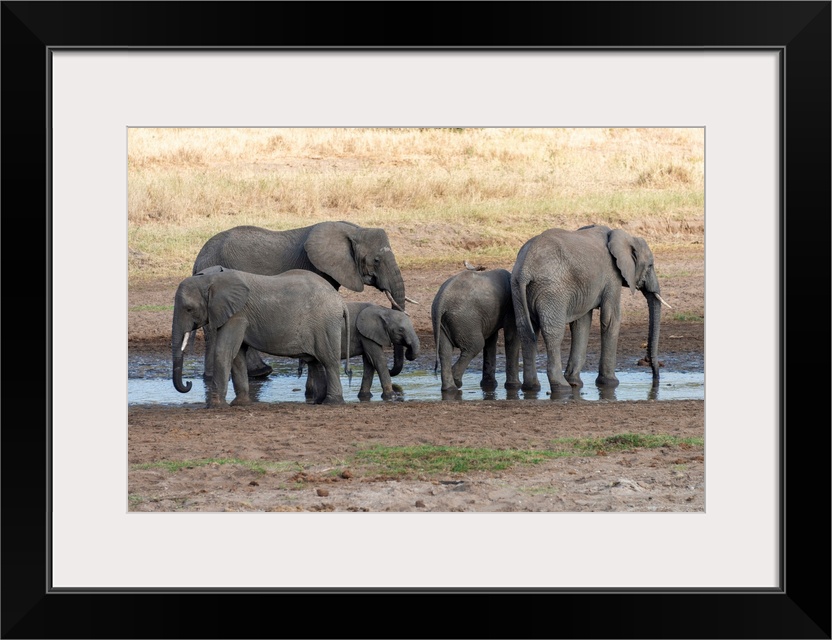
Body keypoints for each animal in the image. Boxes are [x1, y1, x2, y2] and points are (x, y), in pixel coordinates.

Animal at [172, 266, 348, 408]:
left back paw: (331, 403)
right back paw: (317, 402)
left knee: (329, 361)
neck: (211, 279)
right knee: (315, 362)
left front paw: (215, 406)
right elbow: (237, 356)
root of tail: (340, 301)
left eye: (189, 309)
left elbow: (224, 352)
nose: (188, 383)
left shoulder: (237, 314)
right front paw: (240, 404)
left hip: (325, 324)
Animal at [189, 221, 410, 380]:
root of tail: (199, 258)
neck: (351, 230)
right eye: (376, 261)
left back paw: (259, 373)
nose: (394, 370)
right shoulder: (315, 266)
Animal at [428, 264, 520, 396]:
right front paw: (515, 386)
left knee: (444, 351)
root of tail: (442, 300)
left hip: (441, 321)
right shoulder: (510, 306)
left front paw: (490, 385)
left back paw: (450, 389)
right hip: (465, 318)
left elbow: (491, 341)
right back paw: (456, 382)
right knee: (475, 345)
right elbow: (511, 336)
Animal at [510, 225, 672, 396]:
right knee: (553, 333)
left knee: (526, 332)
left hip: (518, 288)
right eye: (650, 266)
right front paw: (610, 383)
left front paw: (575, 382)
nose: (655, 376)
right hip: (552, 290)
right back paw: (561, 387)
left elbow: (581, 324)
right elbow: (610, 319)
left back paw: (532, 388)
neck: (624, 236)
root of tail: (525, 269)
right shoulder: (612, 276)